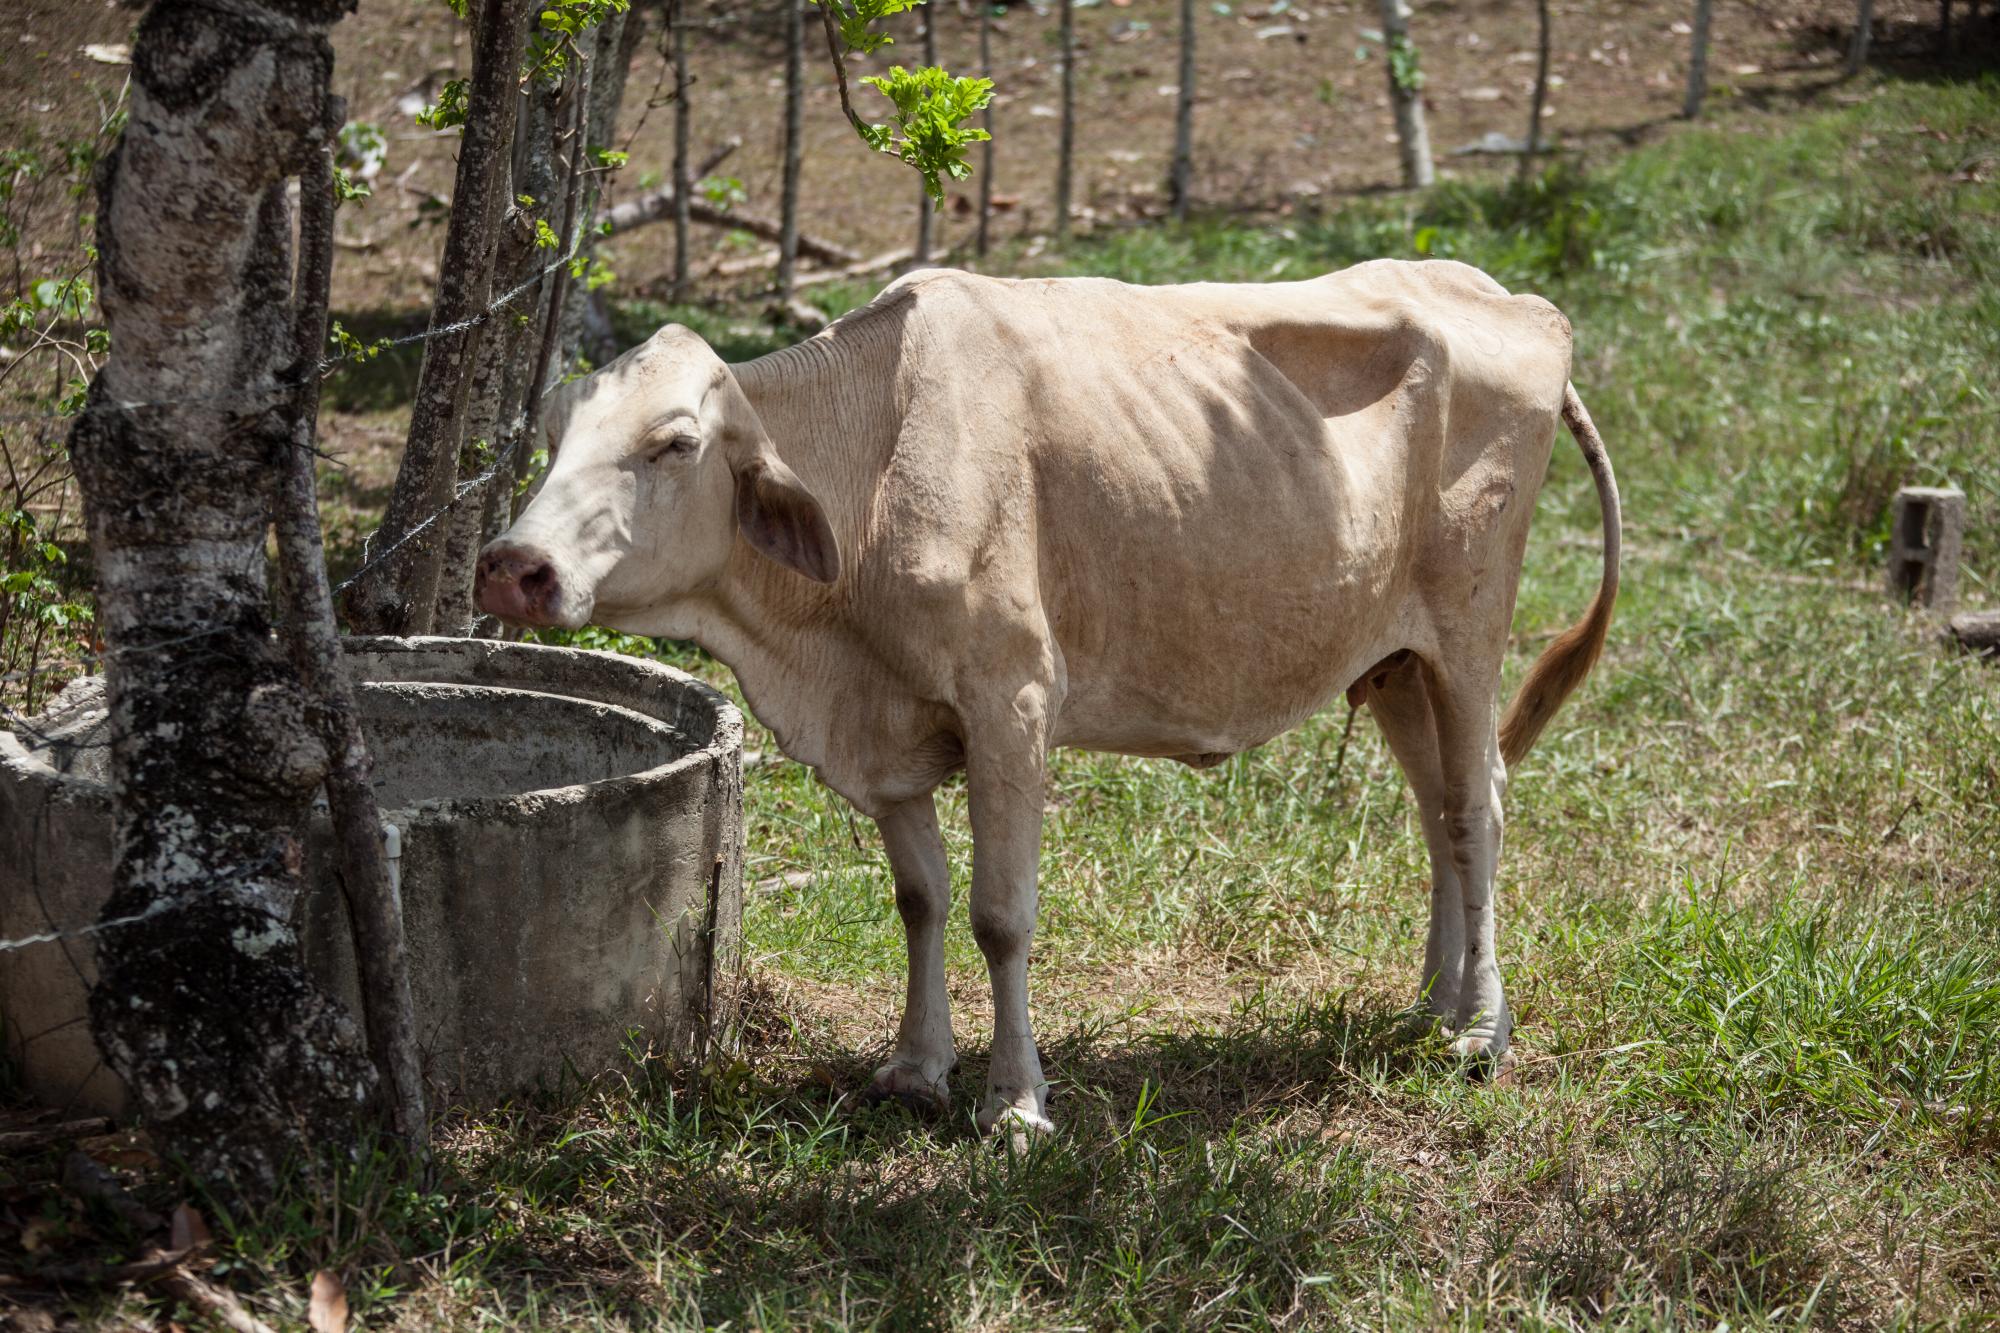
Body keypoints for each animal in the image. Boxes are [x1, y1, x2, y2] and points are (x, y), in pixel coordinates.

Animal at [475, 259, 1622, 1137]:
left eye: (672, 443)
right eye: (550, 434)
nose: (513, 566)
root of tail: (1522, 303)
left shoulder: (1010, 703)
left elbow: (1000, 914)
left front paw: (1015, 1102)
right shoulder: (890, 736)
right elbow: (921, 898)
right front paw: (915, 1067)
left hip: (1468, 632)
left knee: (1476, 810)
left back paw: (1479, 1027)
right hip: (1391, 659)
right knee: (1437, 813)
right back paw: (1430, 1003)